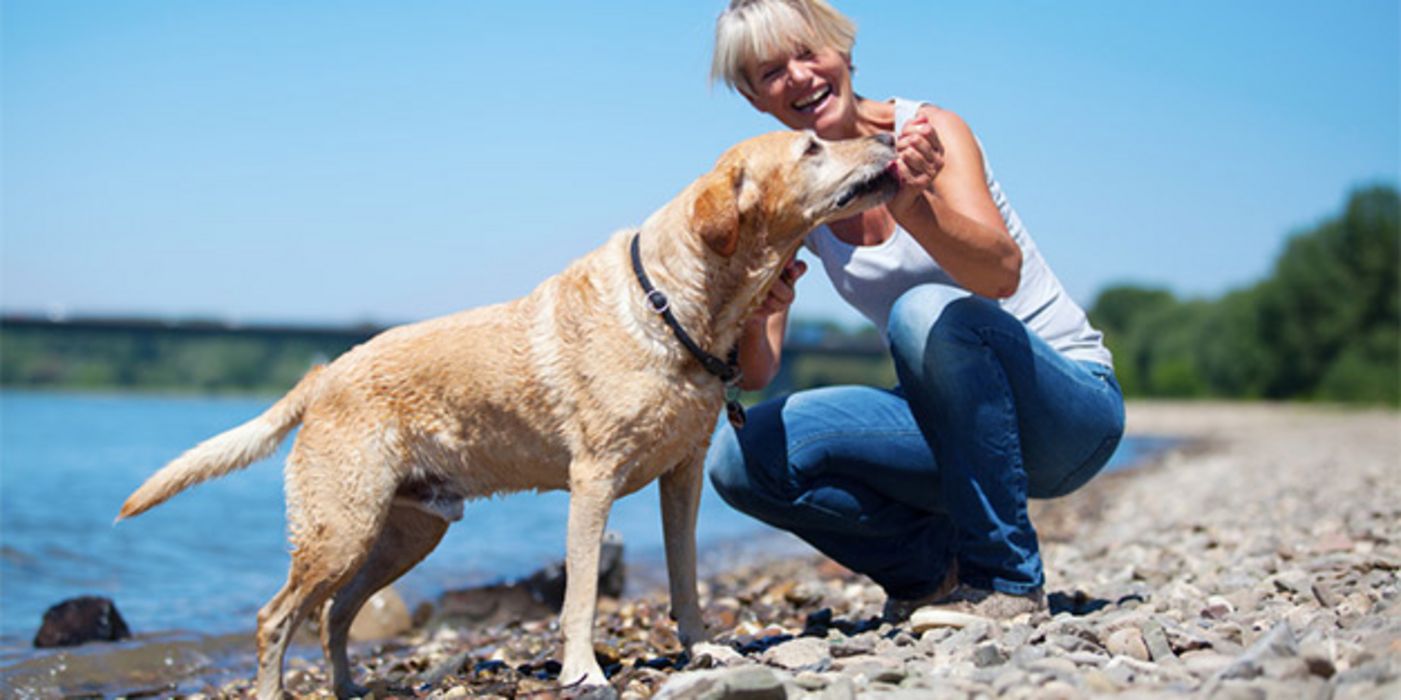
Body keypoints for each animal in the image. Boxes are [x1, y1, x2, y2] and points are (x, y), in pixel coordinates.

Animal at [117, 128, 896, 697]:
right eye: (812, 147)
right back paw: (277, 690)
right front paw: (583, 671)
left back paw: (350, 687)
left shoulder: (682, 477)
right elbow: (580, 594)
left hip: (404, 534)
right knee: (277, 615)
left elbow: (685, 576)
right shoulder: (592, 482)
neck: (677, 305)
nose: (886, 136)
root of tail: (322, 373)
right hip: (341, 526)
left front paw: (704, 648)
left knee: (336, 612)